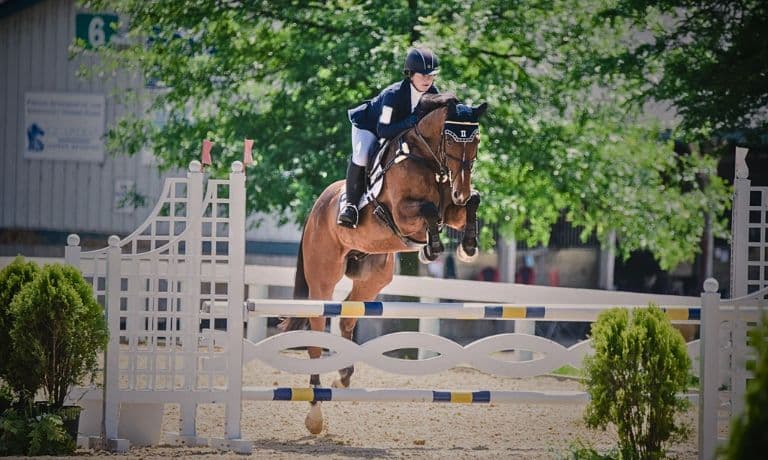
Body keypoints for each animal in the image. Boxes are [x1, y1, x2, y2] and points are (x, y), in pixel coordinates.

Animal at [280, 93, 488, 433]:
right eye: (450, 138)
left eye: (477, 140)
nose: (460, 189)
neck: (428, 160)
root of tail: (316, 208)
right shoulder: (403, 214)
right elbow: (429, 210)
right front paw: (432, 248)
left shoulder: (453, 211)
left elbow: (472, 202)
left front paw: (468, 246)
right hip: (323, 276)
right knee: (317, 329)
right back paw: (315, 412)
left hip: (373, 277)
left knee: (347, 316)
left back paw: (343, 376)